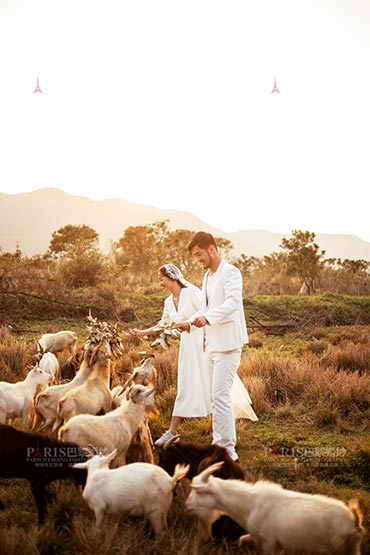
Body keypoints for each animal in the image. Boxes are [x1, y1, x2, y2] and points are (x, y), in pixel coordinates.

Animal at [185, 460, 364, 555]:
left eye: (198, 491)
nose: (186, 505)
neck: (249, 503)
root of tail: (354, 521)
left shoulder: (269, 543)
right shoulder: (260, 538)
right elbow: (242, 540)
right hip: (351, 548)